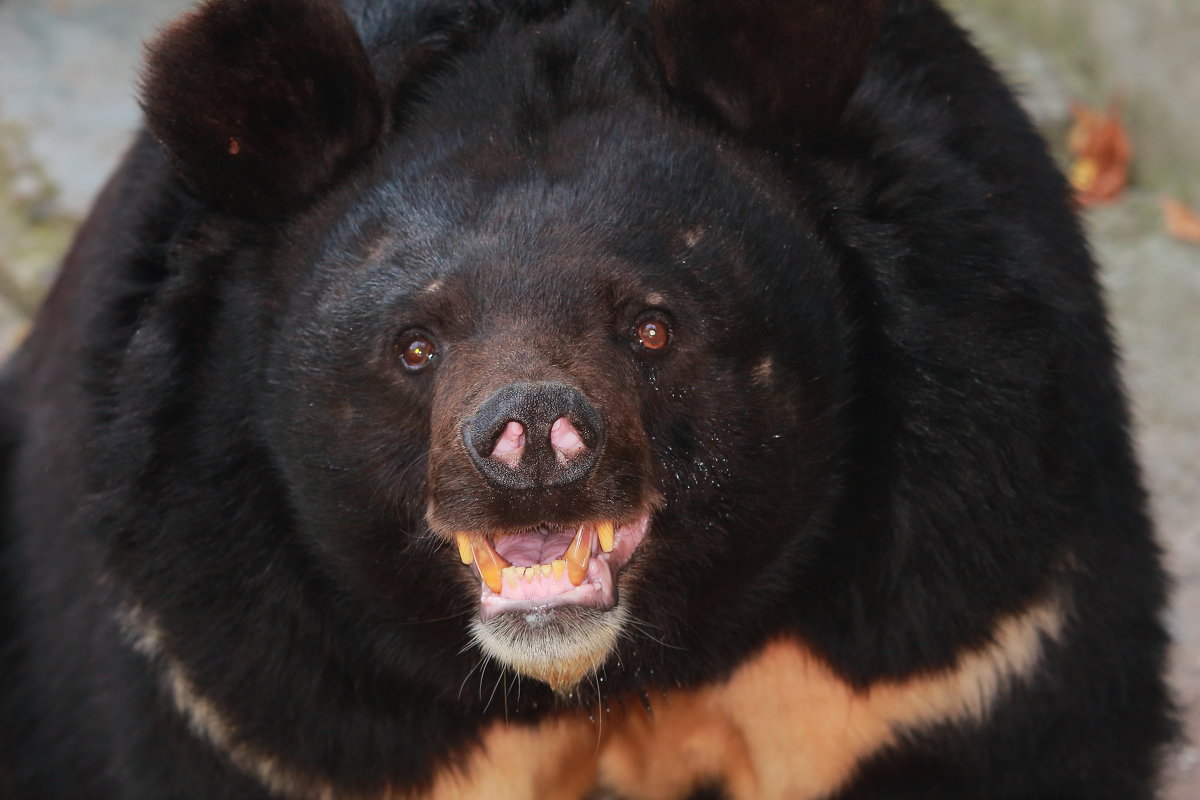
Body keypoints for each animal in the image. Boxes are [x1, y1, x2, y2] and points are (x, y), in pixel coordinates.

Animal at [0, 0, 1176, 796]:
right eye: (416, 343)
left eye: (651, 324)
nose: (532, 440)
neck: (602, 673)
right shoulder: (243, 678)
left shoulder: (958, 627)